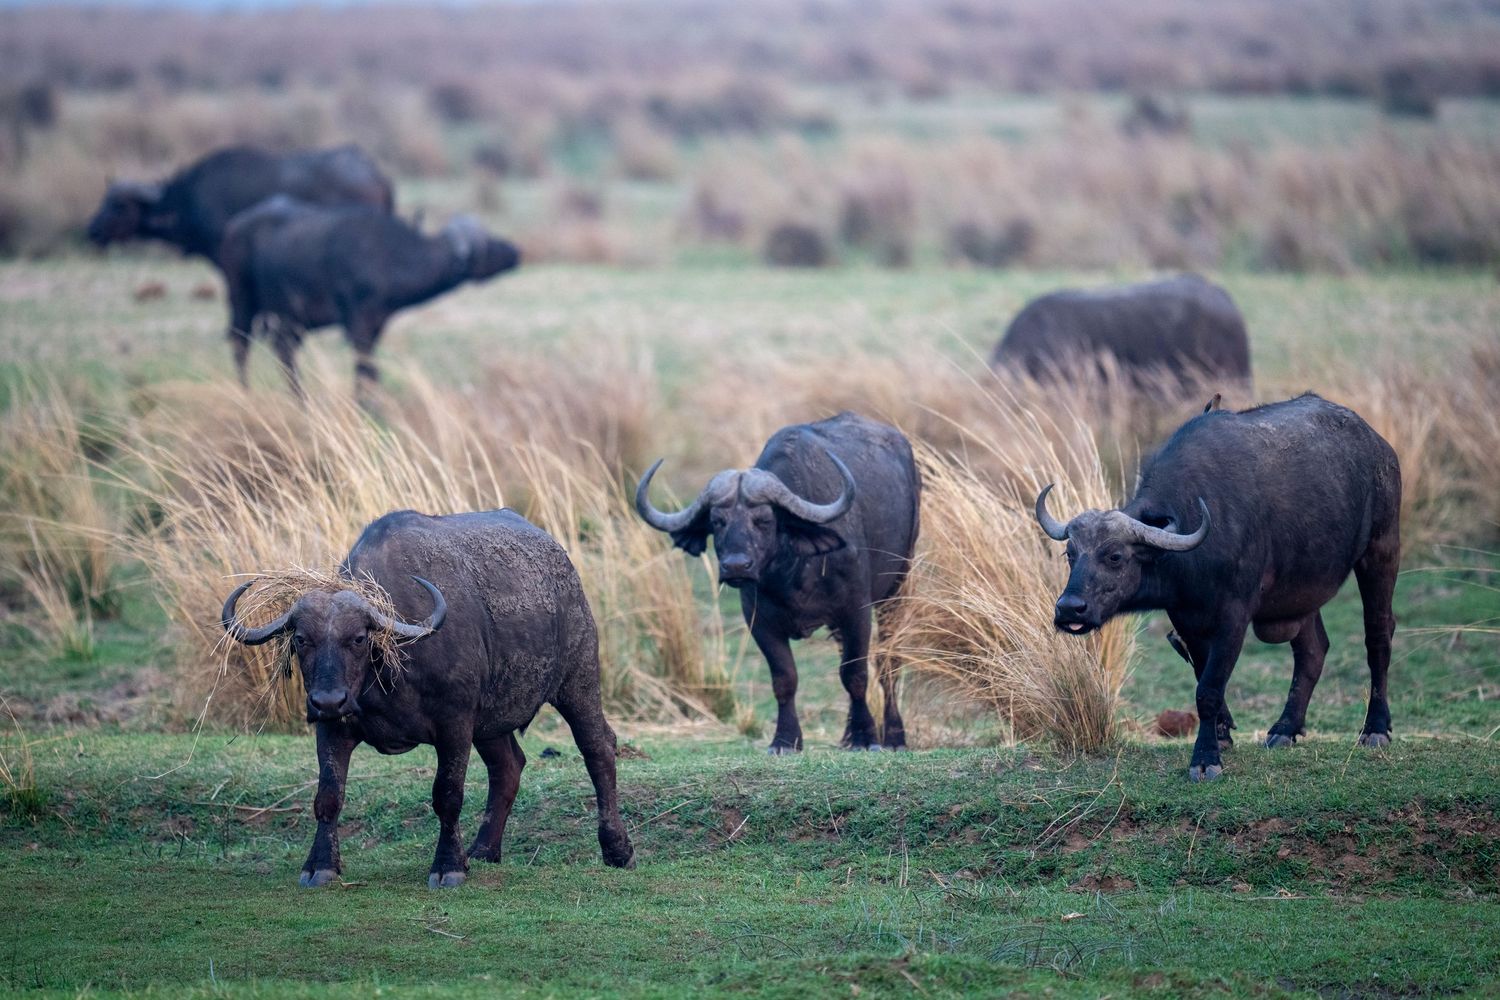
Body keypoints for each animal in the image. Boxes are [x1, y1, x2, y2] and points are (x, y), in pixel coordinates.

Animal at [219, 197, 520, 393]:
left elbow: (370, 370)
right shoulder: (358, 323)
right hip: (242, 298)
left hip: (289, 318)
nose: (515, 250)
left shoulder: (377, 324)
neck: (389, 256)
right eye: (490, 243)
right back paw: (247, 392)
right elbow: (366, 369)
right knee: (240, 344)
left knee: (284, 351)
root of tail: (234, 226)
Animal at [220, 508, 635, 887]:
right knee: (508, 766)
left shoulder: (455, 724)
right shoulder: (333, 728)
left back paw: (618, 849)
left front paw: (448, 867)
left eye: (358, 638)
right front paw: (320, 865)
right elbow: (328, 796)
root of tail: (565, 568)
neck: (389, 672)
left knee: (598, 747)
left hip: (578, 679)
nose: (328, 700)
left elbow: (447, 796)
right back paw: (482, 850)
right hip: (491, 720)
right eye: (302, 640)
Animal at [636, 412, 921, 753]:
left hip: (898, 587)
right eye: (717, 522)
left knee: (889, 662)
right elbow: (784, 679)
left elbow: (854, 674)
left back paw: (894, 736)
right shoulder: (759, 620)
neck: (793, 574)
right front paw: (786, 739)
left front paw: (866, 738)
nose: (736, 566)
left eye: (764, 521)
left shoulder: (856, 611)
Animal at [1036, 393, 1400, 781]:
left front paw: (1205, 757)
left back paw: (1375, 728)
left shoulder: (1233, 617)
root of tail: (1379, 445)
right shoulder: (1186, 619)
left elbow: (1208, 689)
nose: (1069, 609)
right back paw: (1285, 728)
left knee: (1378, 636)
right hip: (1298, 592)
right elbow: (1201, 675)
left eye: (1115, 556)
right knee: (1313, 650)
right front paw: (1222, 735)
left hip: (1381, 550)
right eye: (1070, 553)